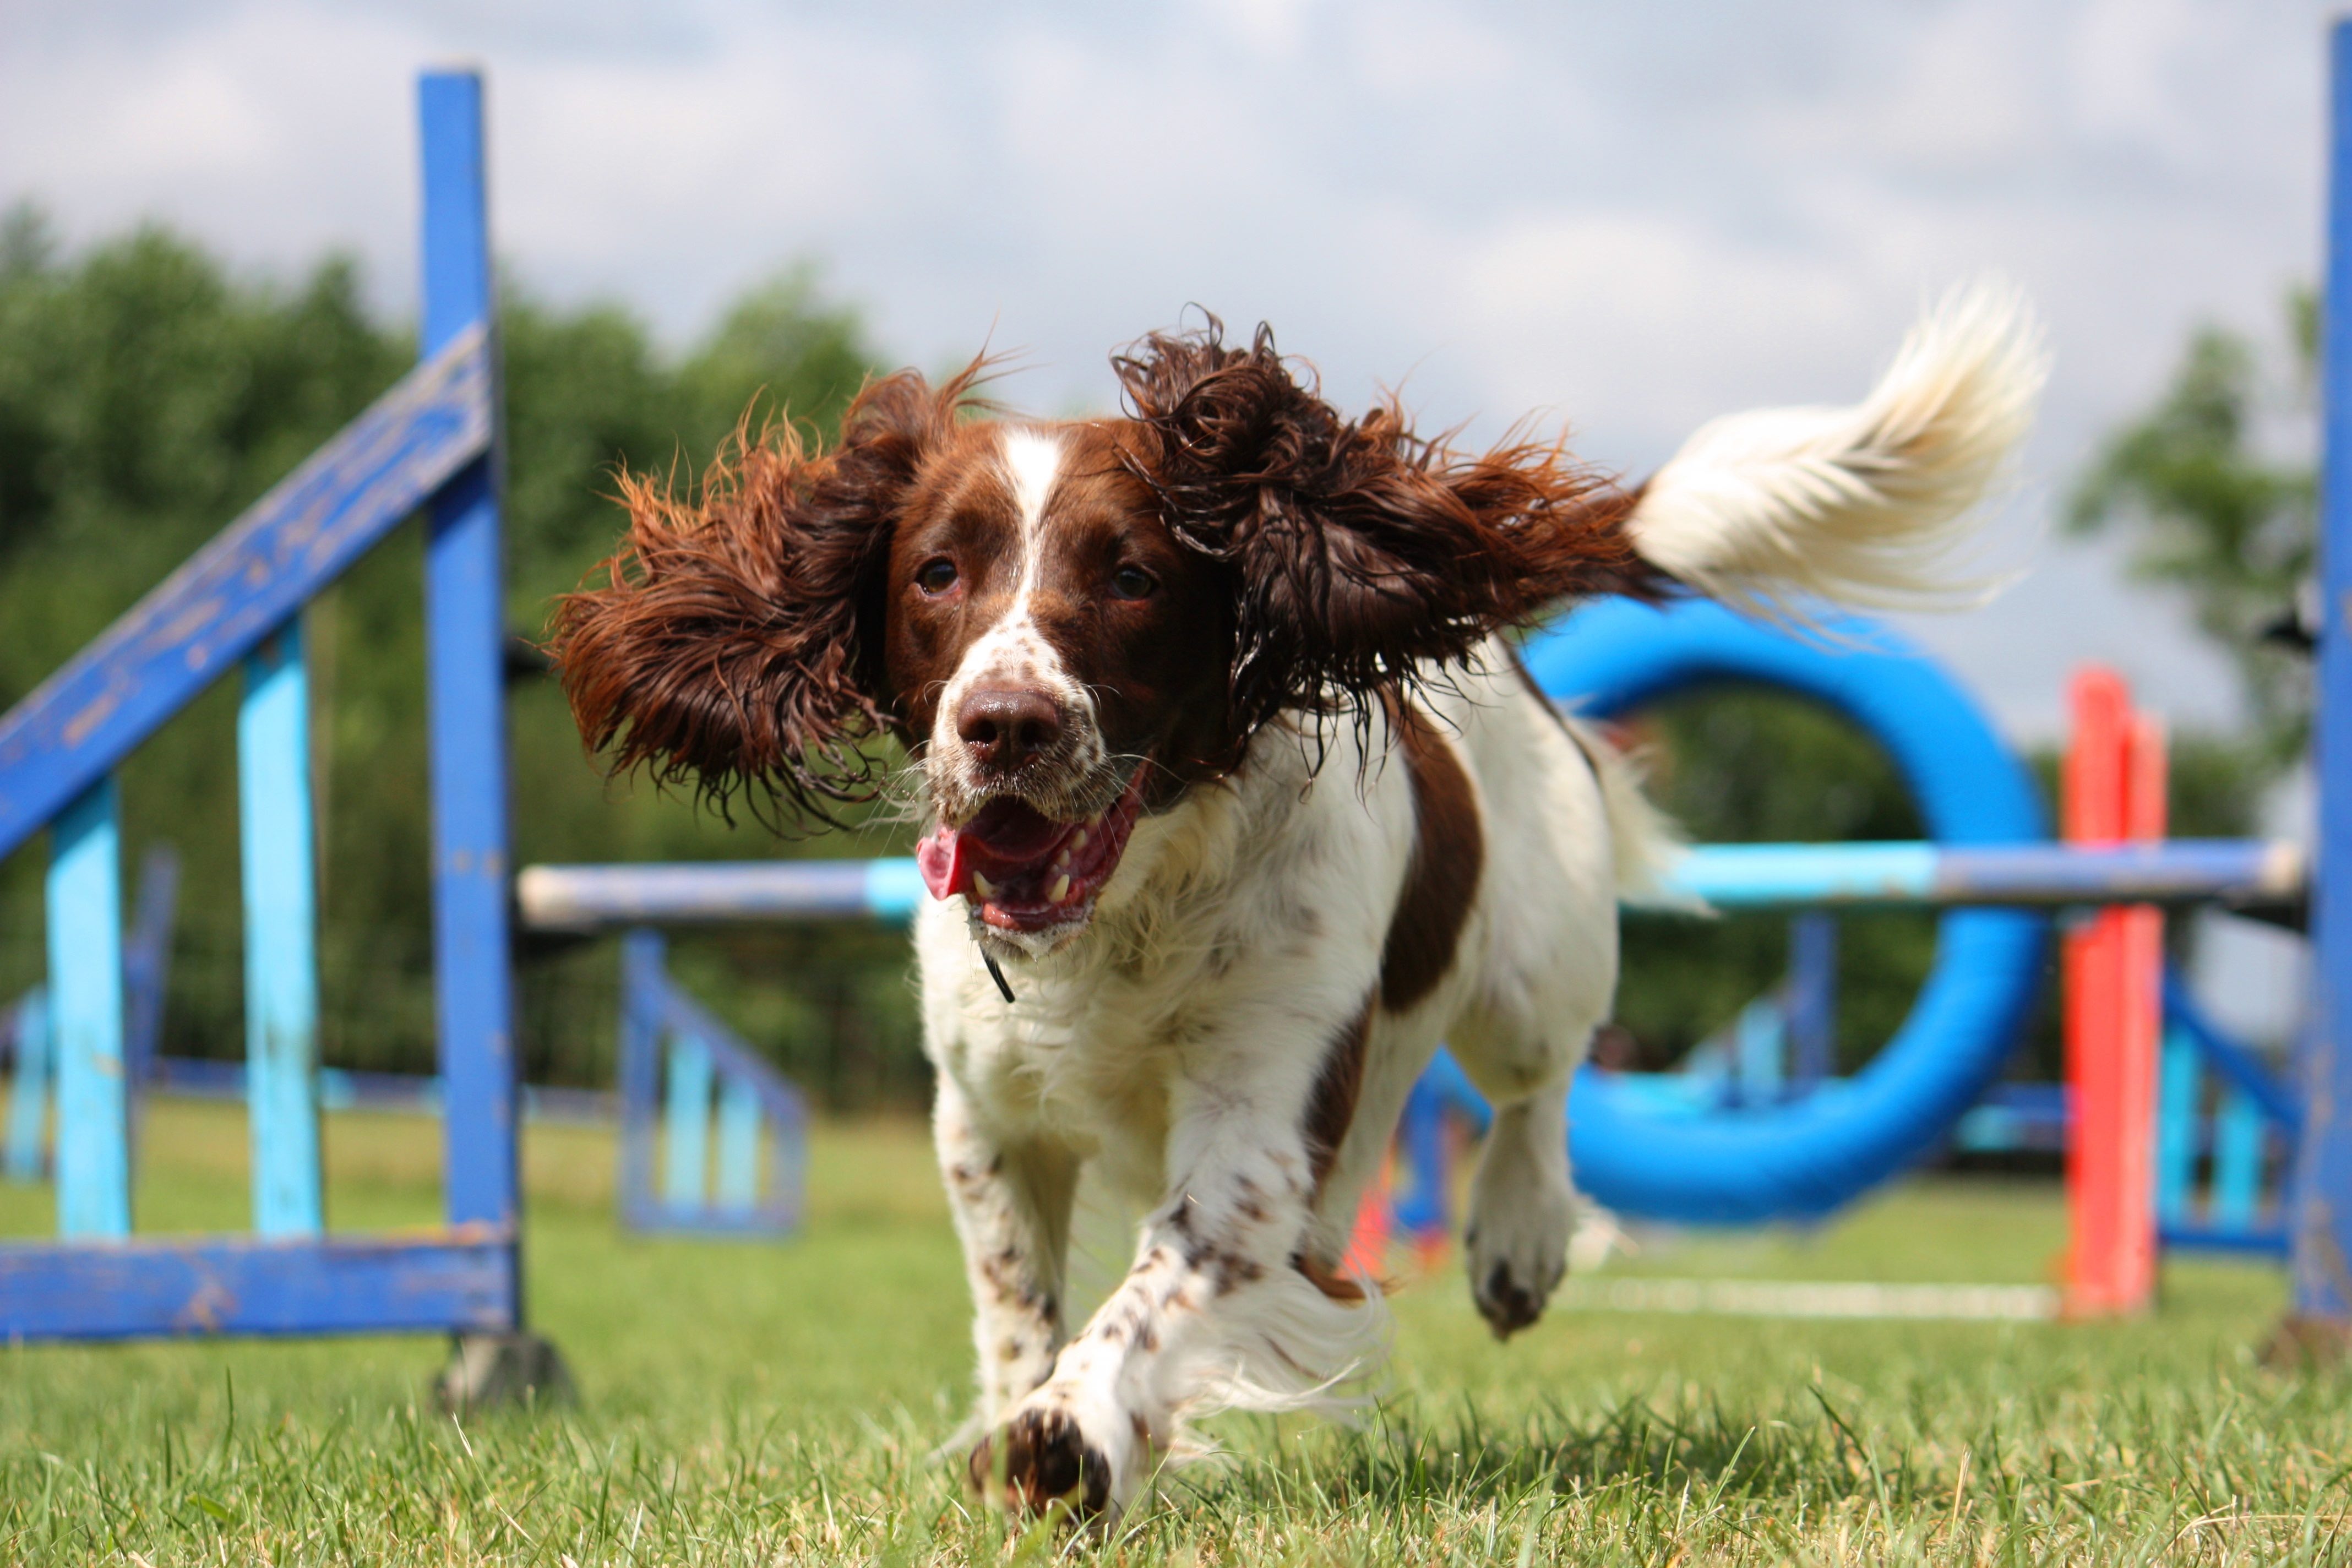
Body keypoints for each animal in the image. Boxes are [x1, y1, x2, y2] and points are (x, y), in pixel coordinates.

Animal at [550, 288, 2041, 1523]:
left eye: (1131, 573)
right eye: (935, 570)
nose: (1007, 724)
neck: (1128, 904)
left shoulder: (1262, 1113)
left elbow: (1158, 1287)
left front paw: (1076, 1432)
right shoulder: (984, 1112)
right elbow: (1017, 1299)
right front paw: (1018, 1422)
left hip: (1535, 960)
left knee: (1540, 1082)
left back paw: (1518, 1236)